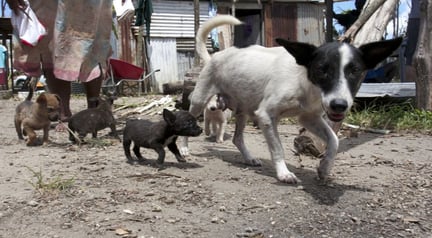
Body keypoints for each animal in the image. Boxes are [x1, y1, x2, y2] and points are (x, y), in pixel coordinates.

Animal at [180, 14, 402, 184]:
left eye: (355, 71)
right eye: (322, 70)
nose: (339, 105)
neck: (304, 83)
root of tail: (212, 57)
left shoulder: (309, 118)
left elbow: (334, 139)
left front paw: (324, 168)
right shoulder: (266, 115)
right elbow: (278, 148)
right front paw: (284, 173)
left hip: (244, 109)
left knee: (237, 138)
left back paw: (249, 158)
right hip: (200, 101)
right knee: (188, 116)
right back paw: (183, 149)